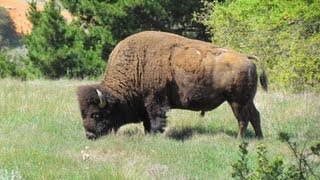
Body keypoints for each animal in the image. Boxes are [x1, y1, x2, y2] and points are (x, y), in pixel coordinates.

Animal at [77, 31, 268, 140]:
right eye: (83, 113)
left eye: (96, 114)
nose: (89, 135)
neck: (135, 65)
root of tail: (246, 57)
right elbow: (148, 122)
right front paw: (149, 134)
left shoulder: (155, 100)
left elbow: (155, 120)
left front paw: (154, 136)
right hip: (247, 100)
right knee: (255, 116)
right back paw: (259, 138)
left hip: (236, 102)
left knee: (243, 119)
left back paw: (239, 140)